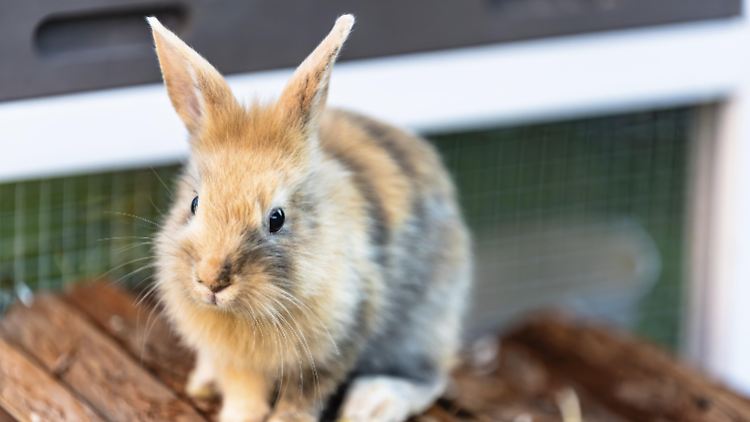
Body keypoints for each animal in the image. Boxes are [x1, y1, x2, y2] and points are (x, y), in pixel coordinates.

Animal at [148, 14, 472, 422]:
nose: (211, 281)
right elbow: (244, 394)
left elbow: (300, 400)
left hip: (422, 326)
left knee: (431, 377)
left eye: (277, 218)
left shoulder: (332, 347)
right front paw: (238, 416)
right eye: (194, 204)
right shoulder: (237, 362)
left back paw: (372, 403)